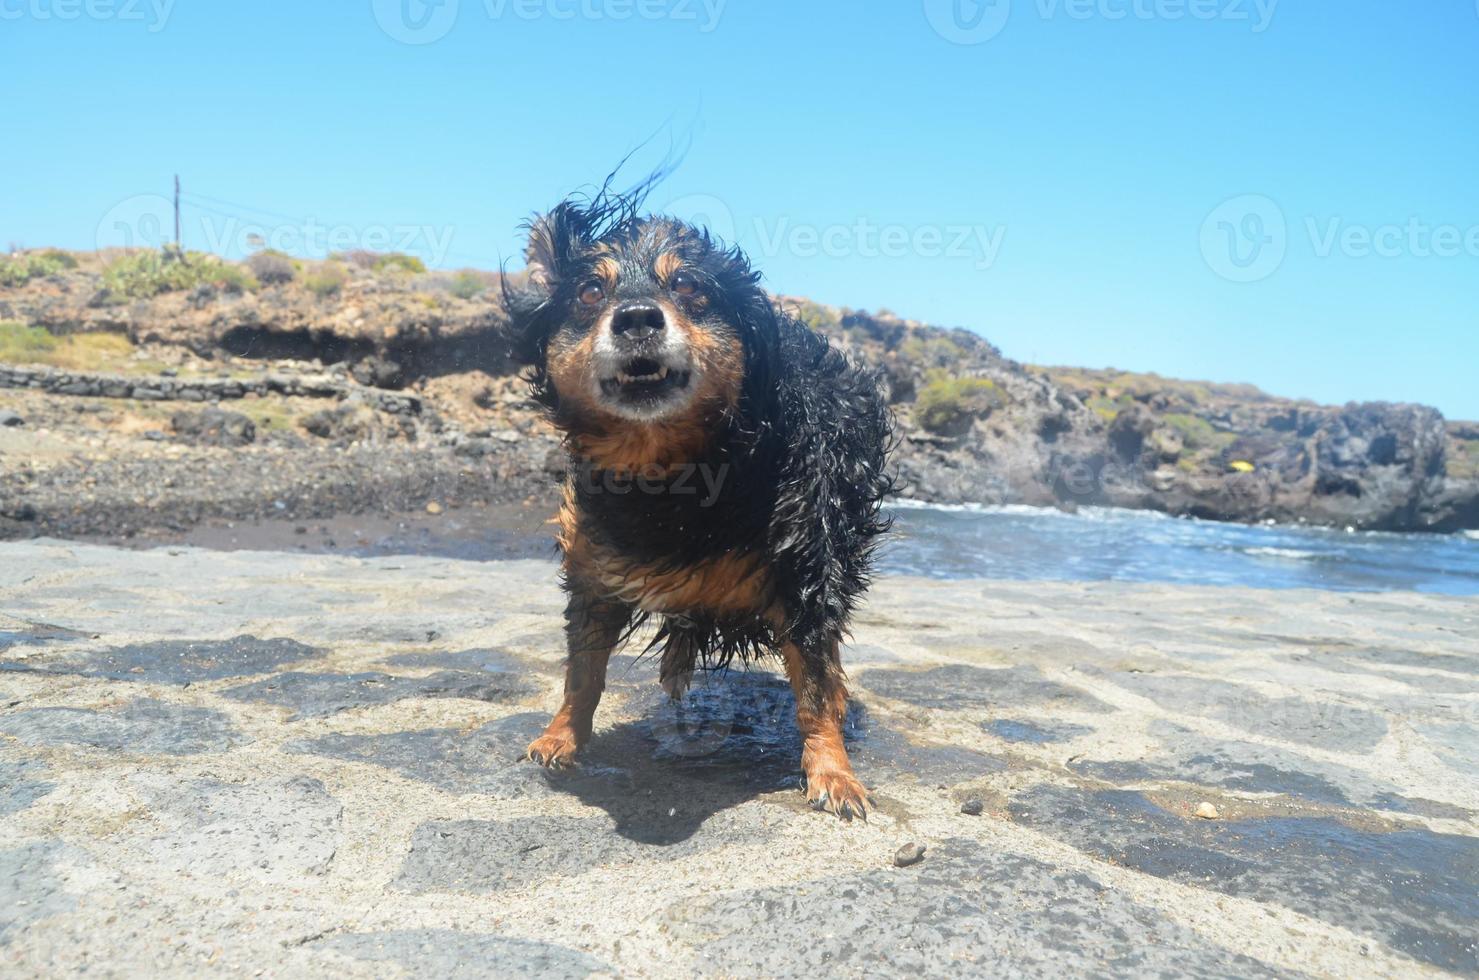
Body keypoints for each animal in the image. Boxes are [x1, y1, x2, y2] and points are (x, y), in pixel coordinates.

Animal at [508, 181, 893, 821]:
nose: (637, 318)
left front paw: (833, 772)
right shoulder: (593, 572)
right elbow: (582, 674)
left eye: (689, 286)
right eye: (589, 292)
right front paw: (561, 737)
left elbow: (814, 687)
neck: (672, 478)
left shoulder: (805, 571)